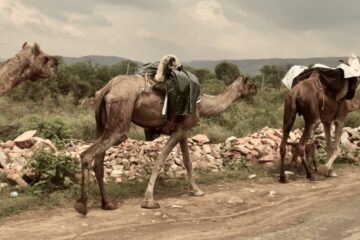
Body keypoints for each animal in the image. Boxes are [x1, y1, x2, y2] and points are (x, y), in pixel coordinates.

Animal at [74, 68, 258, 215]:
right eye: (249, 83)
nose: (256, 89)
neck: (202, 104)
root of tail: (106, 89)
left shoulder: (183, 130)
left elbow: (187, 162)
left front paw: (196, 191)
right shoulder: (180, 130)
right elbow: (160, 160)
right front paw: (149, 201)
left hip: (102, 124)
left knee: (98, 162)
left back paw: (108, 204)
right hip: (120, 117)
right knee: (88, 154)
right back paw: (82, 205)